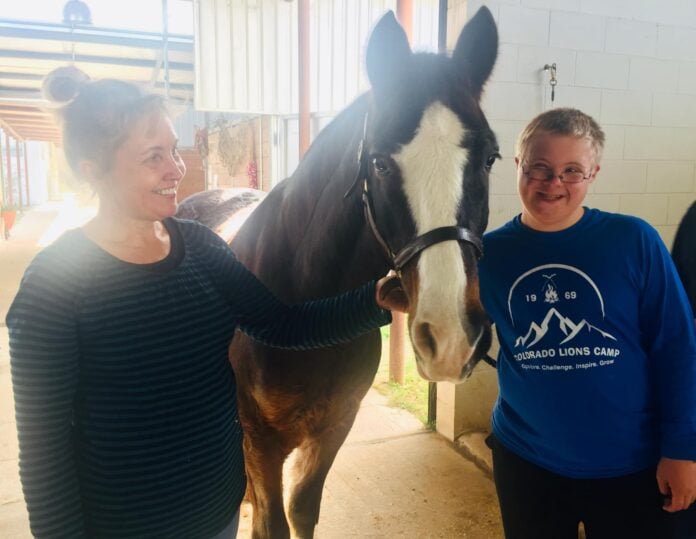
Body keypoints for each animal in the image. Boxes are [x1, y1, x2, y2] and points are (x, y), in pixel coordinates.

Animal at [177, 8, 498, 539]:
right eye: (380, 163)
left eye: (490, 158)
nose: (450, 339)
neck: (302, 310)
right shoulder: (259, 440)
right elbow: (272, 522)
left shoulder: (333, 429)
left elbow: (302, 510)